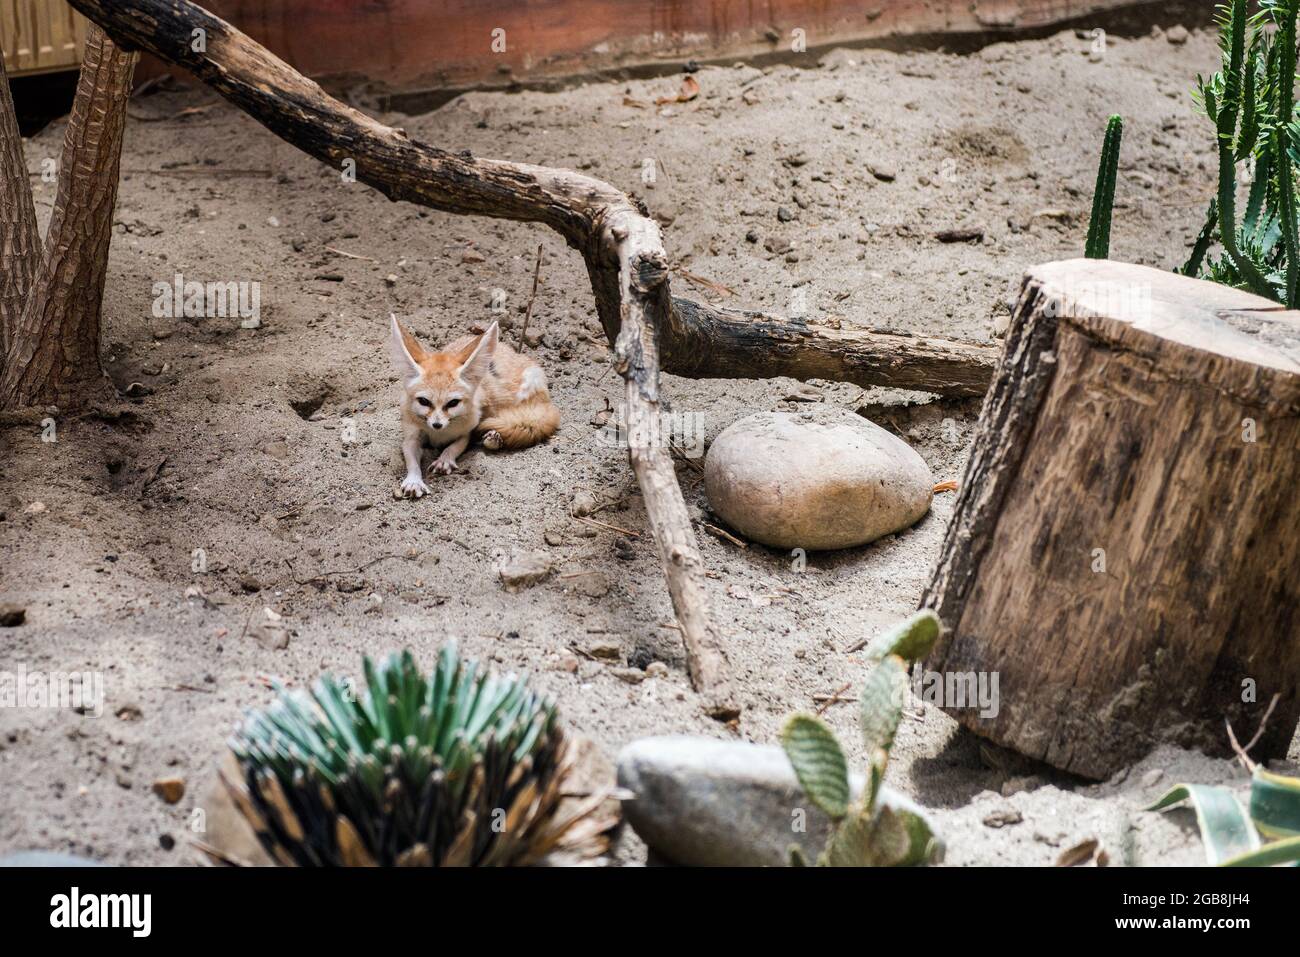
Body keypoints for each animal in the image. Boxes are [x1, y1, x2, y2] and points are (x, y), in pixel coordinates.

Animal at [388, 315, 560, 498]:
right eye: (424, 401)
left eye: (453, 403)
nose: (437, 424)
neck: (438, 435)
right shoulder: (411, 436)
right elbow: (411, 459)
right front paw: (414, 480)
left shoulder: (467, 430)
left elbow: (455, 446)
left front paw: (445, 459)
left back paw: (494, 437)